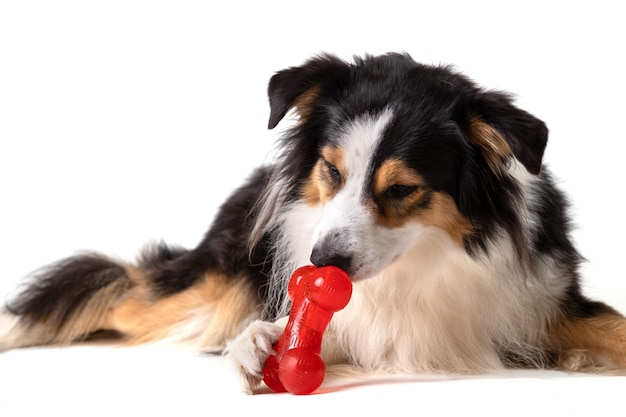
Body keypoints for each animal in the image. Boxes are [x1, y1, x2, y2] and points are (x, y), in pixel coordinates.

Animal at [1, 52, 624, 394]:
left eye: (402, 190)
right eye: (330, 169)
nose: (321, 262)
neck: (421, 264)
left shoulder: (544, 300)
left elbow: (610, 326)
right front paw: (257, 347)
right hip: (213, 282)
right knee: (117, 286)